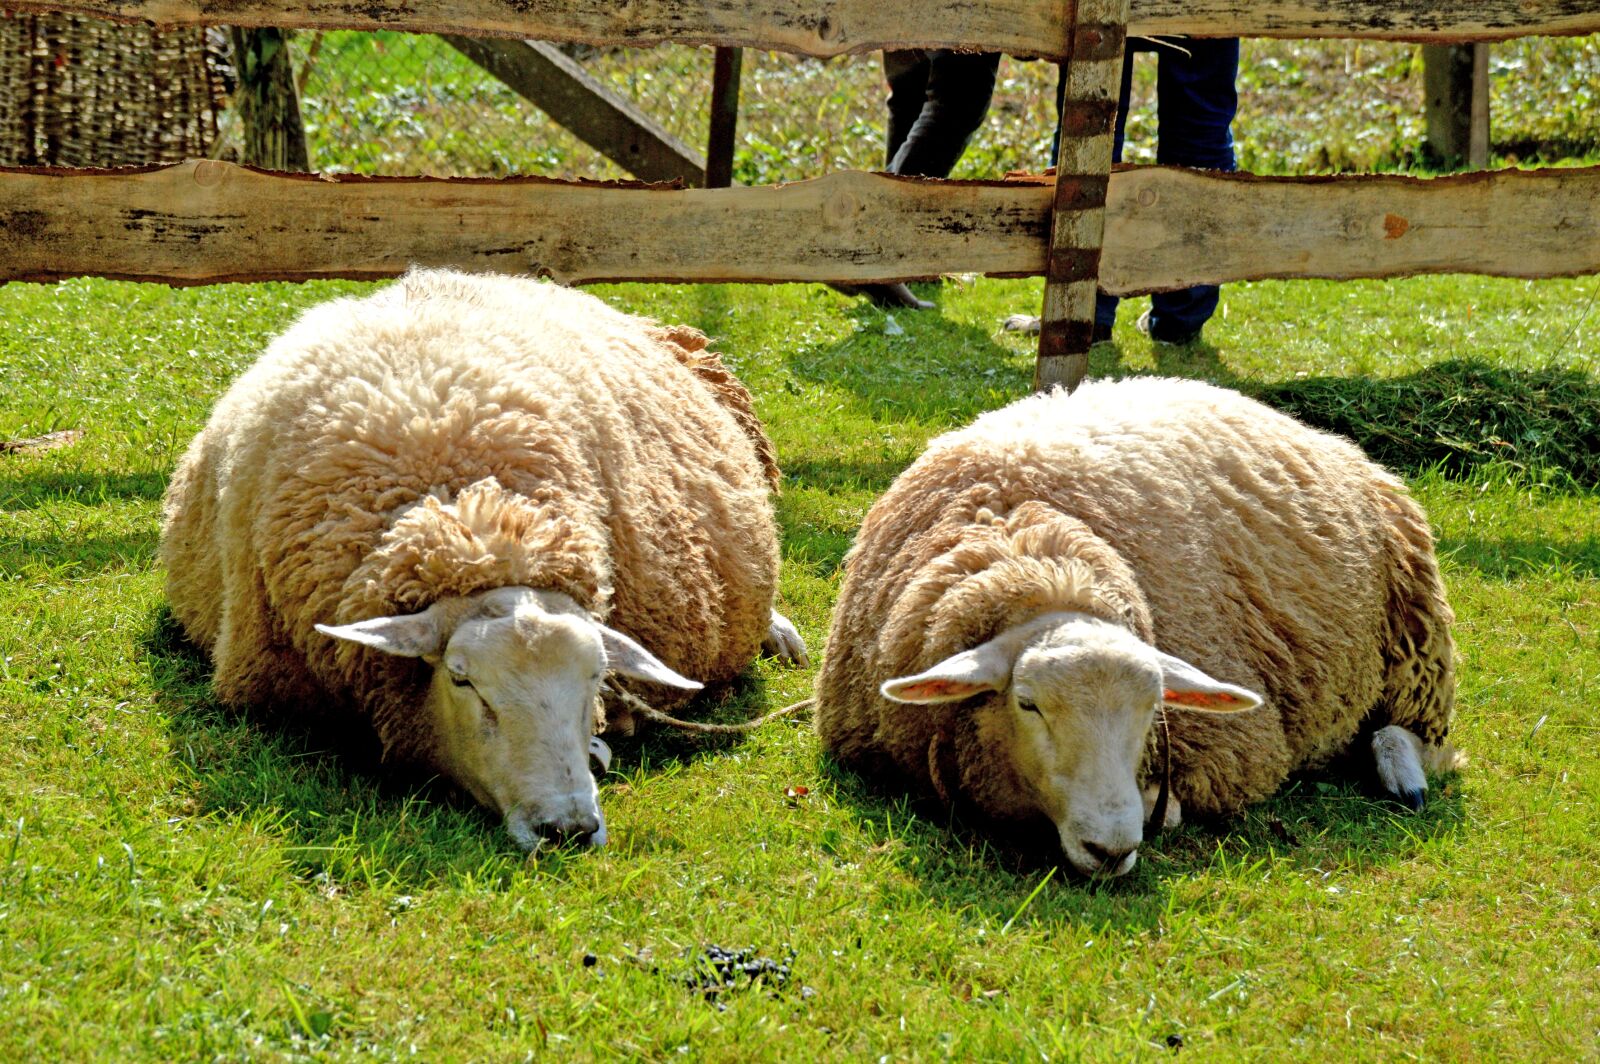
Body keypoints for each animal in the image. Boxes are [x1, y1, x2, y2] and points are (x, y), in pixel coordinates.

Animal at [814, 376, 1457, 878]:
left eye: (1155, 708)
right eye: (1027, 703)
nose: (1111, 849)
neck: (1031, 550)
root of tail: (1319, 433)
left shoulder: (1235, 749)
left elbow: (1168, 806)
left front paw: (1158, 813)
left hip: (1416, 637)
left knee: (1414, 735)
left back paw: (1403, 776)